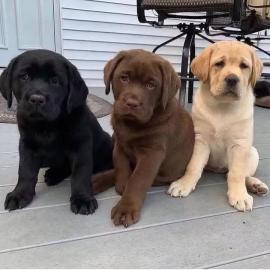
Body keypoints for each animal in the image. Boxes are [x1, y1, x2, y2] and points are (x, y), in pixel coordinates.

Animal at [0, 50, 112, 215]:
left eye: (55, 81)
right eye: (24, 76)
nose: (36, 99)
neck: (48, 125)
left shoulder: (81, 146)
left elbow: (80, 173)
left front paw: (82, 199)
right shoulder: (26, 145)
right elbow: (25, 171)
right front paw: (19, 194)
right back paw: (53, 174)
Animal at [169, 41, 268, 212]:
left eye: (244, 66)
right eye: (219, 63)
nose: (232, 79)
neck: (223, 106)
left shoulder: (240, 144)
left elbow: (237, 174)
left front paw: (239, 196)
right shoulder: (200, 140)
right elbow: (193, 166)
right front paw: (184, 183)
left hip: (252, 153)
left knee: (241, 174)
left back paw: (256, 185)